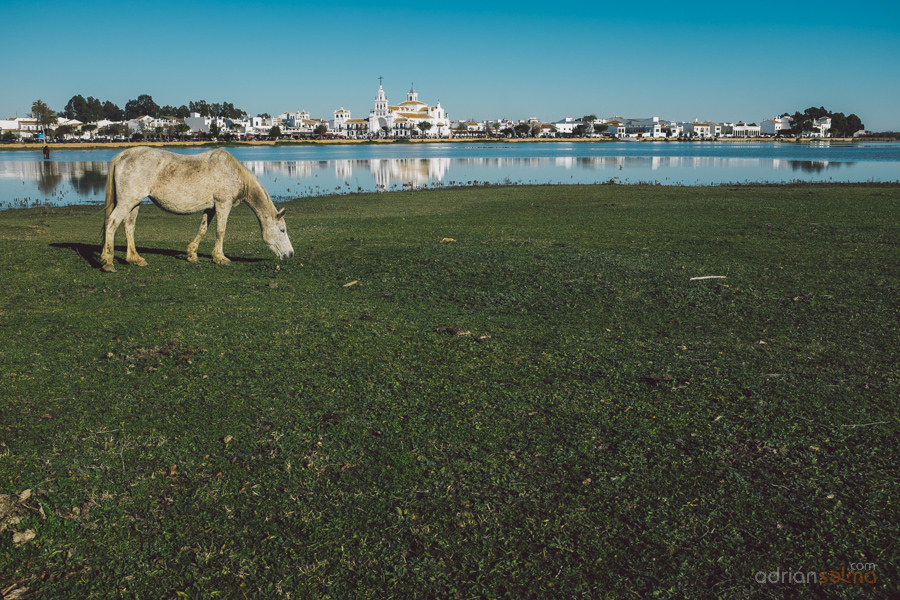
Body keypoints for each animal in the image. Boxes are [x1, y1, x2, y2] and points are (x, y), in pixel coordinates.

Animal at [101, 147, 292, 272]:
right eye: (282, 230)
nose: (290, 254)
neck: (232, 172)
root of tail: (123, 155)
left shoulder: (211, 208)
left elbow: (203, 229)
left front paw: (192, 254)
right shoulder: (223, 204)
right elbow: (220, 231)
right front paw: (220, 258)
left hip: (134, 203)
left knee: (129, 226)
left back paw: (135, 259)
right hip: (127, 202)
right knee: (112, 223)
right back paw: (108, 262)